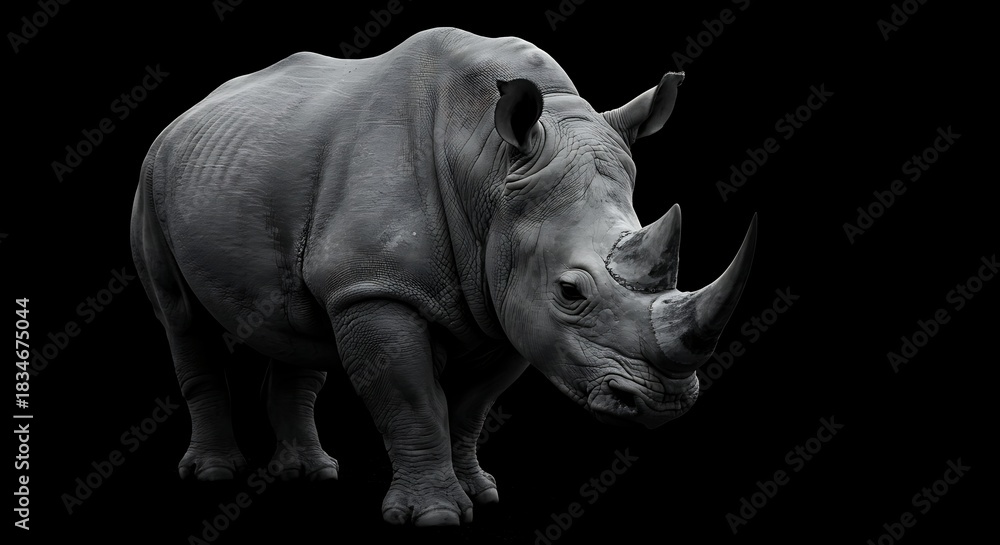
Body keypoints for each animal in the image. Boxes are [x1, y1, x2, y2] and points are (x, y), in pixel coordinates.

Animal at [130, 27, 756, 526]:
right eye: (570, 291)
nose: (662, 404)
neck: (487, 165)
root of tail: (186, 114)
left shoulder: (504, 296)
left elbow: (470, 408)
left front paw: (481, 494)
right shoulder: (375, 287)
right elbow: (411, 400)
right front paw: (433, 516)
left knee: (295, 328)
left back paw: (312, 474)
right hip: (153, 176)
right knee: (181, 318)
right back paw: (214, 475)